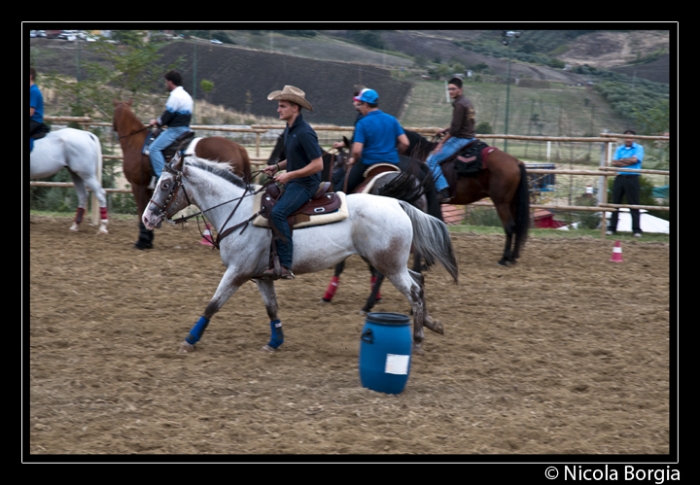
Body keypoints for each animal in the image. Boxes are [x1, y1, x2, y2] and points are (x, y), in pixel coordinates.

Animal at [110, 99, 250, 250]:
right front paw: (148, 239)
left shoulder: (138, 186)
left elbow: (141, 210)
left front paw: (142, 241)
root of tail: (239, 147)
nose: (113, 128)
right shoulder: (149, 189)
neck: (136, 142)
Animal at [142, 155, 460, 352]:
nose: (147, 218)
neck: (238, 210)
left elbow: (212, 305)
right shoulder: (261, 276)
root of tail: (397, 204)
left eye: (166, 185)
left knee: (414, 290)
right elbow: (272, 309)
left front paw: (189, 339)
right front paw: (275, 342)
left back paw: (417, 339)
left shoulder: (237, 272)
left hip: (389, 265)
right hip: (390, 263)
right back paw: (431, 324)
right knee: (419, 280)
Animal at [404, 130, 532, 264]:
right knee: (517, 226)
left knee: (509, 226)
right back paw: (512, 257)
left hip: (501, 203)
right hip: (512, 203)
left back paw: (505, 258)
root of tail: (517, 162)